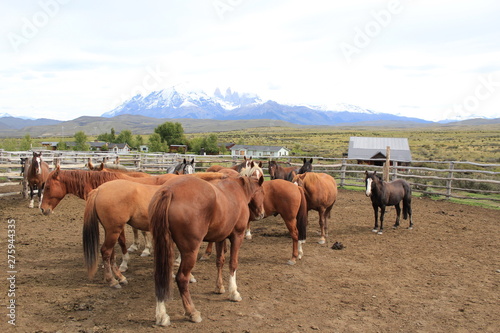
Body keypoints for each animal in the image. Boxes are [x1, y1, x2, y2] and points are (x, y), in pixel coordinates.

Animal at [146, 174, 266, 324]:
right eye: (262, 192)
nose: (262, 213)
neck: (238, 190)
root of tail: (169, 190)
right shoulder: (237, 236)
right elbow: (233, 264)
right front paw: (234, 292)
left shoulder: (220, 237)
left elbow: (220, 261)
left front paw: (219, 287)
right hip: (190, 251)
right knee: (182, 278)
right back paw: (192, 312)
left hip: (164, 247)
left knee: (160, 277)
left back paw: (161, 315)